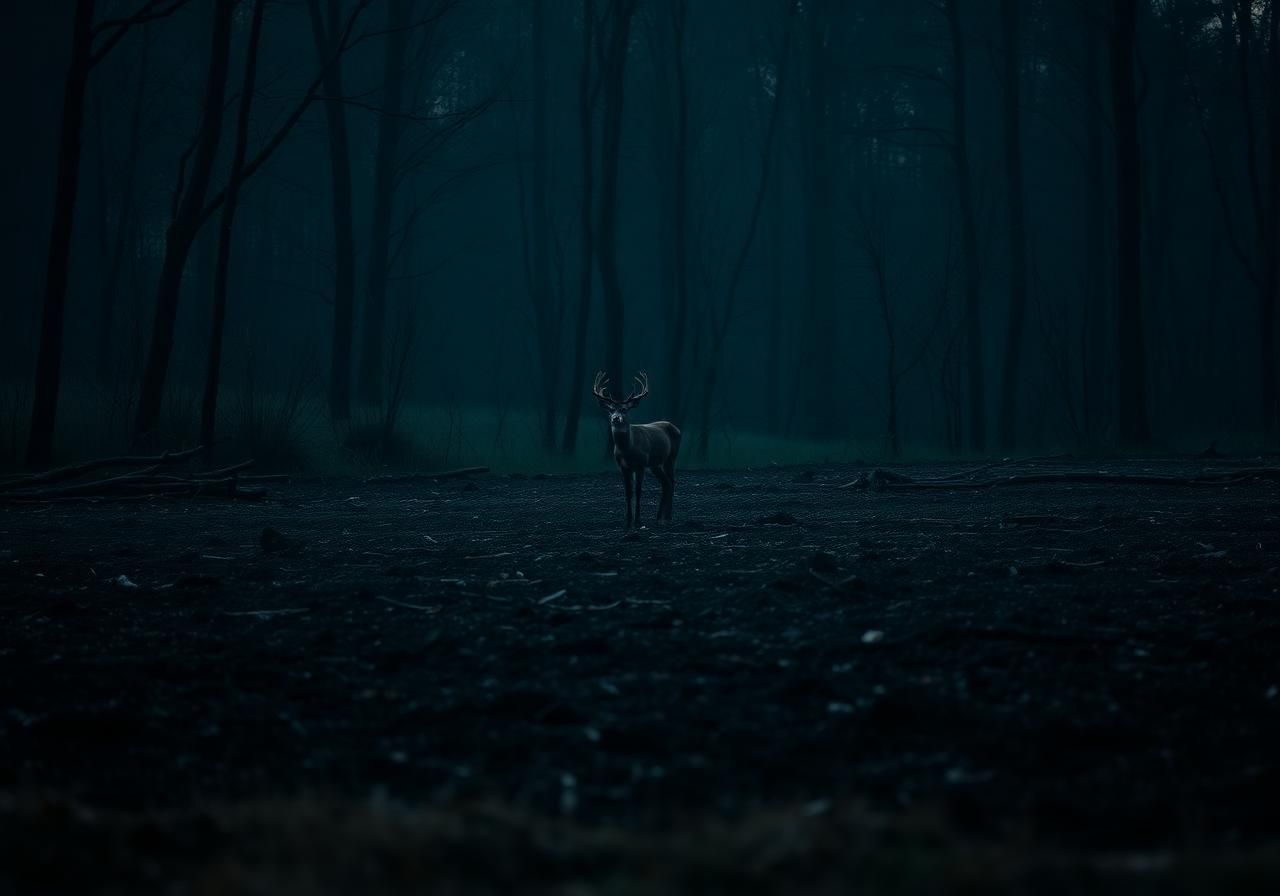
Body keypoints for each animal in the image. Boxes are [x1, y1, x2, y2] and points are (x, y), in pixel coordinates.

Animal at [593, 371, 681, 528]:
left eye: (624, 409)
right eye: (610, 410)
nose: (615, 418)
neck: (628, 449)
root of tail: (676, 428)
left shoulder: (640, 464)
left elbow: (638, 491)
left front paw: (638, 520)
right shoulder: (623, 467)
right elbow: (628, 492)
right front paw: (628, 521)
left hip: (671, 457)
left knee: (672, 481)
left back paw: (668, 517)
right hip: (654, 464)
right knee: (665, 483)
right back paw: (659, 517)